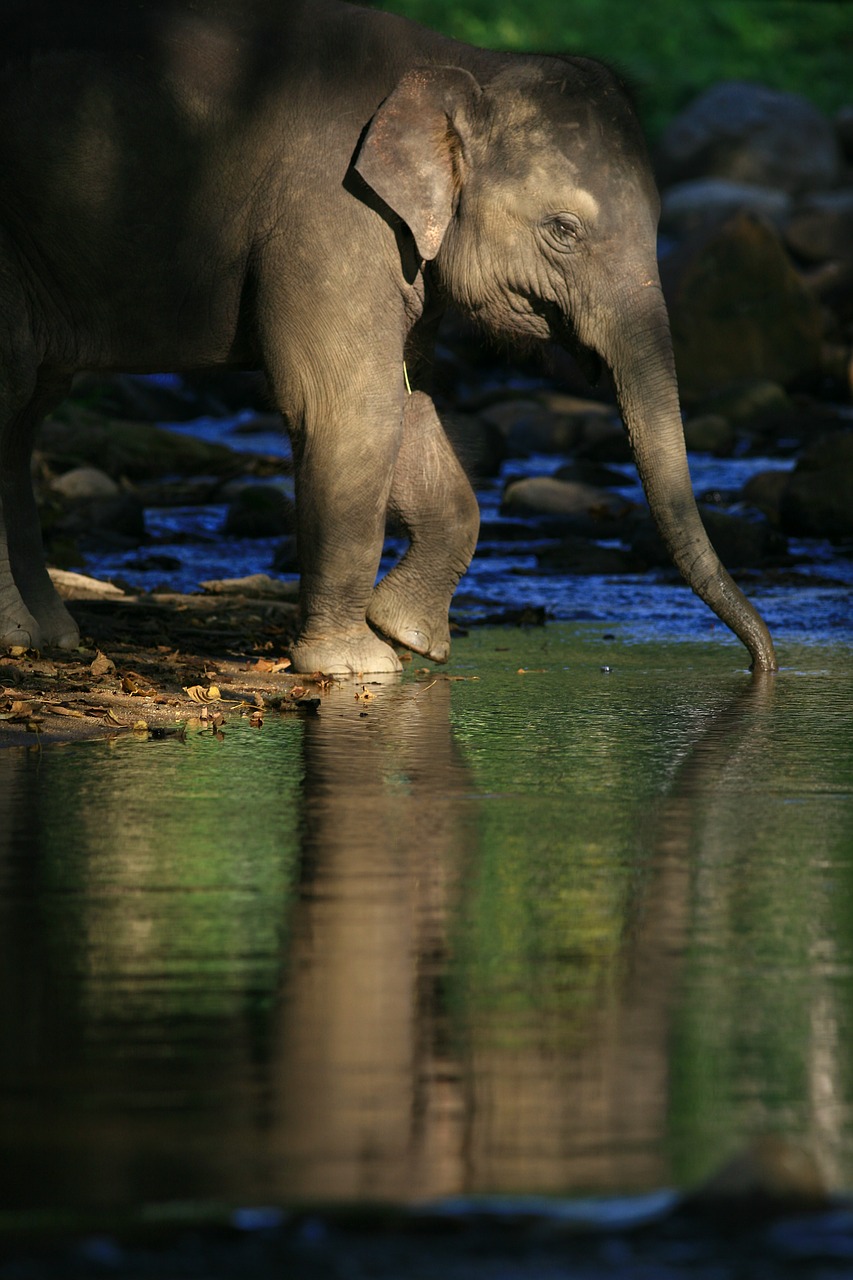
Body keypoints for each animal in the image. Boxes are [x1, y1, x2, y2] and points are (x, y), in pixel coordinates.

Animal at [0, 0, 773, 675]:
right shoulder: (328, 211)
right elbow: (350, 405)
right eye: (563, 229)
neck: (465, 66)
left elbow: (409, 401)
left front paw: (409, 637)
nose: (764, 666)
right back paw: (24, 637)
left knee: (28, 407)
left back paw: (50, 635)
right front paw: (359, 665)